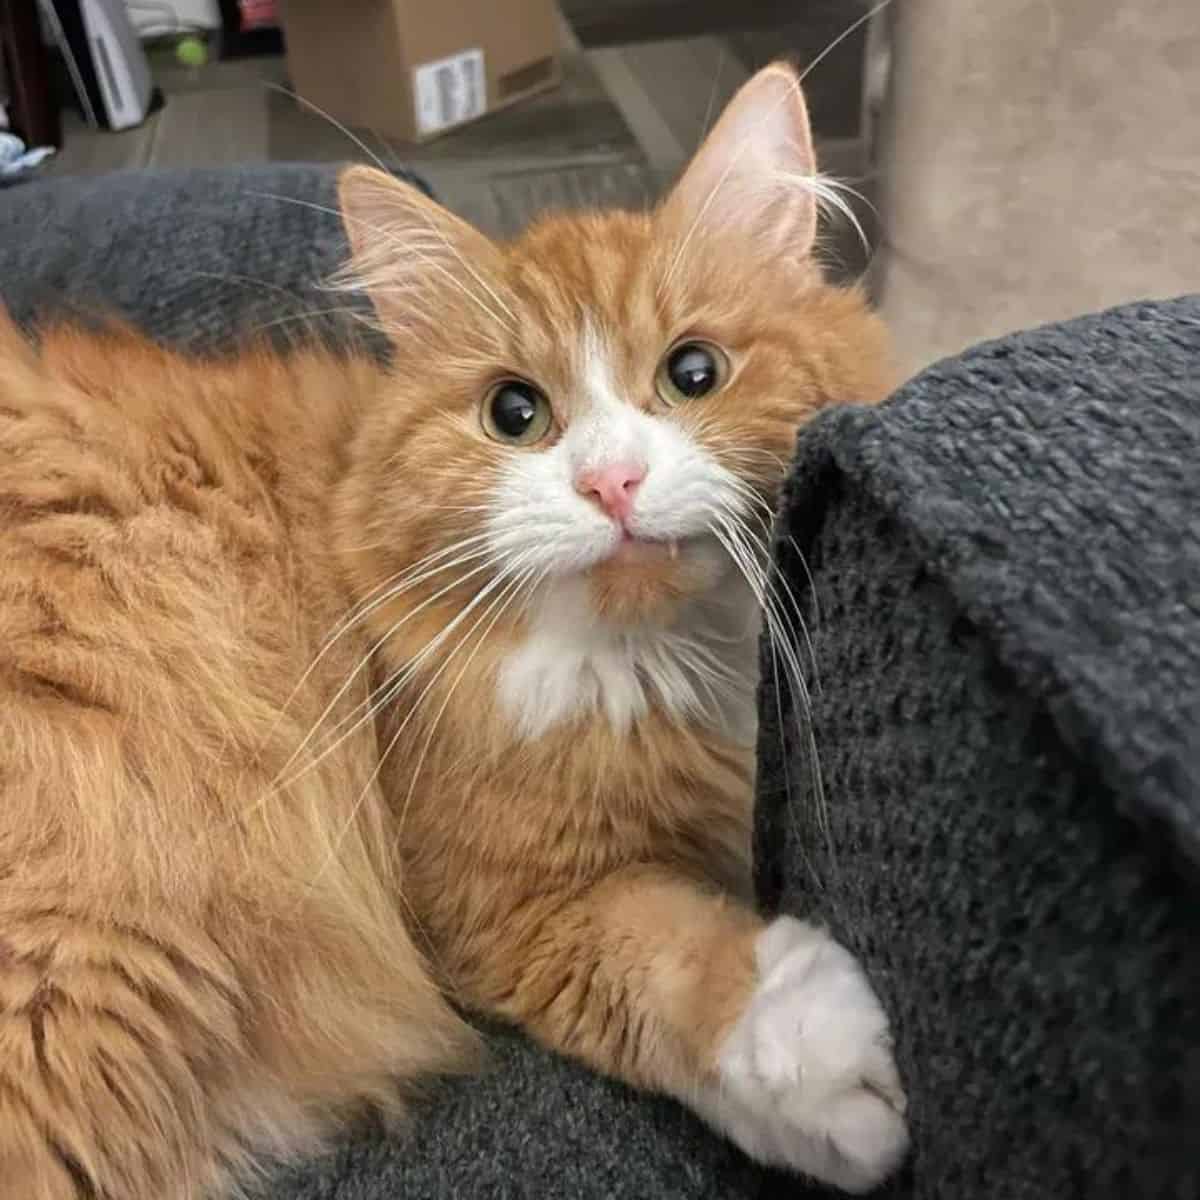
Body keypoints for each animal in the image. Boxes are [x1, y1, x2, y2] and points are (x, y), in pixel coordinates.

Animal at [0, 65, 902, 1200]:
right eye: (516, 414)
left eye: (693, 374)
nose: (613, 483)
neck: (656, 666)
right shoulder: (503, 910)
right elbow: (661, 954)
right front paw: (818, 1051)